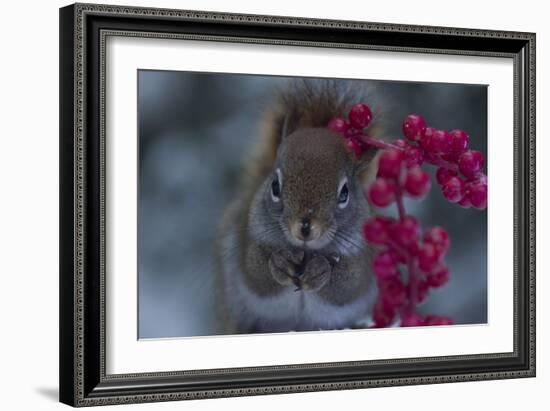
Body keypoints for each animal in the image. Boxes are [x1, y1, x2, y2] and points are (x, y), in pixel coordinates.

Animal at [216, 79, 384, 334]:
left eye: (345, 193)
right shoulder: (248, 241)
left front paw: (320, 270)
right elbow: (256, 274)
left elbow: (347, 286)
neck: (306, 251)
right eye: (275, 185)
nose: (305, 228)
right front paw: (280, 263)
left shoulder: (363, 258)